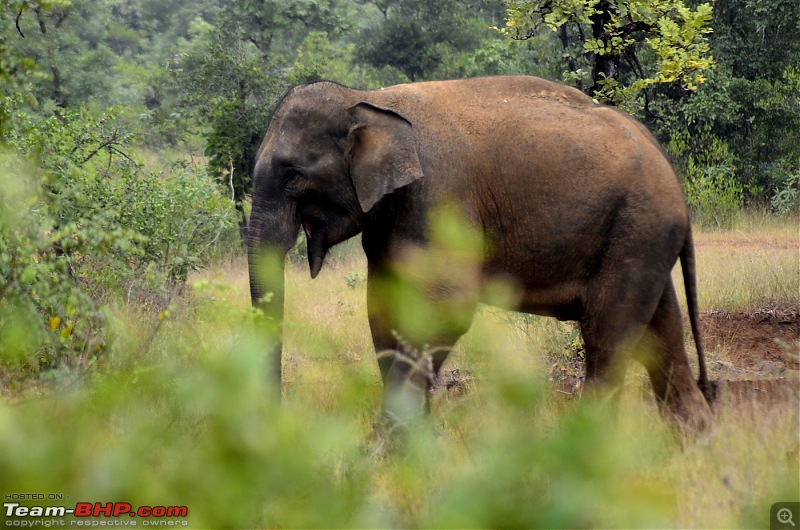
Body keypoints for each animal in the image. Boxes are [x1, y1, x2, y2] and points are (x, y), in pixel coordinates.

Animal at [247, 75, 716, 434]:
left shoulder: (441, 197)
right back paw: (696, 445)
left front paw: (391, 448)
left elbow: (447, 307)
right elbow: (384, 310)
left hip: (637, 228)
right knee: (661, 332)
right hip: (642, 236)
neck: (370, 99)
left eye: (292, 175)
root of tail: (671, 174)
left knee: (608, 338)